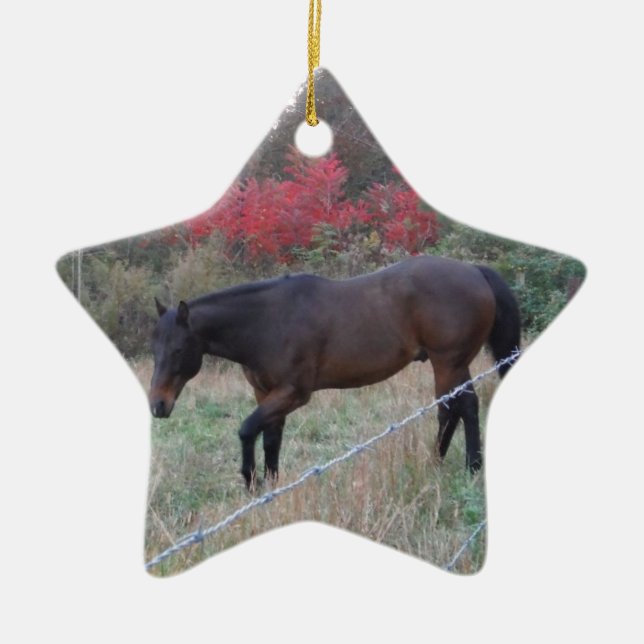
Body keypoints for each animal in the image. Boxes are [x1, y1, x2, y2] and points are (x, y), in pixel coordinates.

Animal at [149, 255, 520, 490]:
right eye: (154, 350)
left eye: (178, 350)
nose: (158, 405)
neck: (268, 322)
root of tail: (474, 271)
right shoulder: (266, 393)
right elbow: (270, 439)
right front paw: (270, 487)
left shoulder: (293, 393)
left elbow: (246, 430)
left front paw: (251, 481)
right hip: (452, 364)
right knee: (455, 409)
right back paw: (445, 464)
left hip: (448, 362)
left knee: (459, 408)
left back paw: (463, 467)